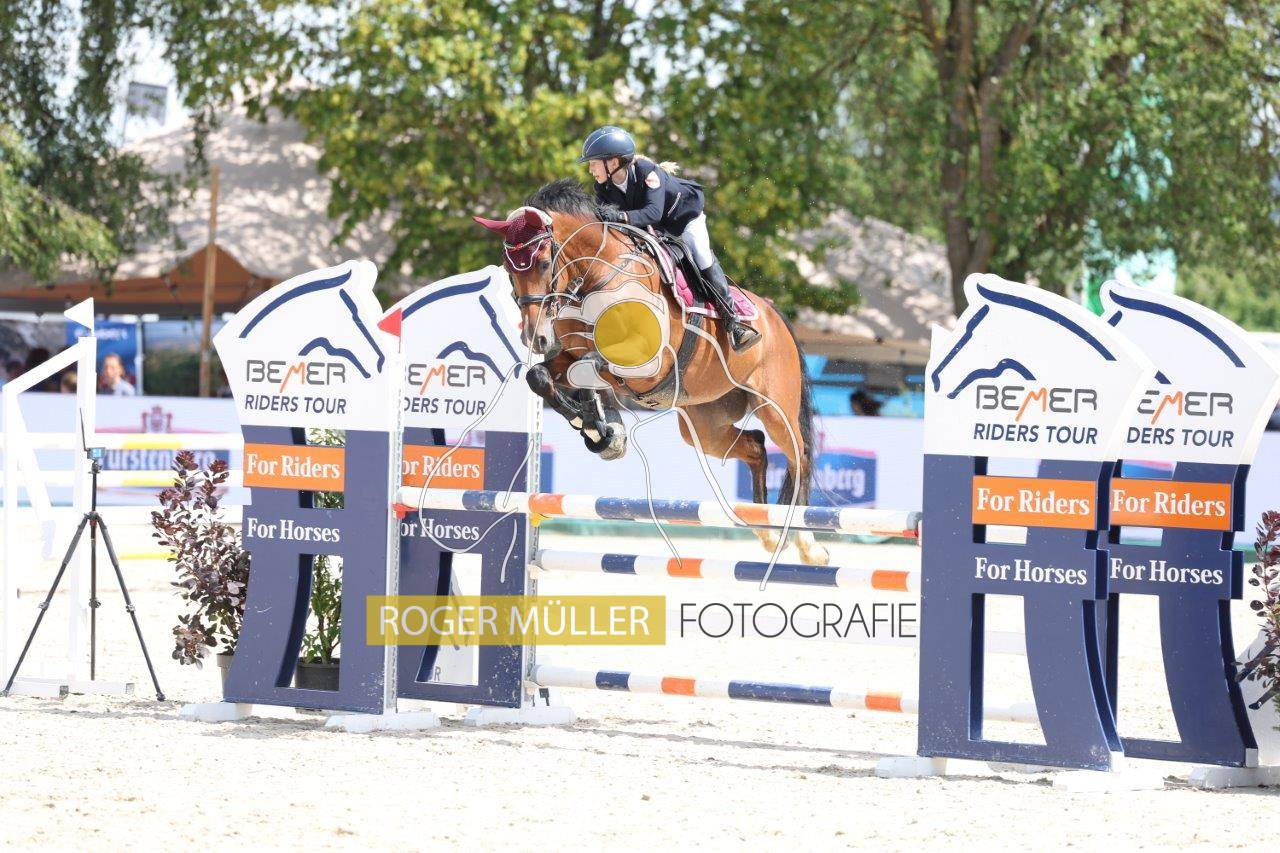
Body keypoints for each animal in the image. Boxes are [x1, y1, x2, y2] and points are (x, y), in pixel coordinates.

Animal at [475, 179, 828, 565]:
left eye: (541, 263)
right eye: (510, 271)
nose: (534, 337)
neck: (599, 274)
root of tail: (774, 315)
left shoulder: (646, 361)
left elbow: (594, 366)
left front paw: (603, 426)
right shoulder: (568, 353)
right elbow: (541, 376)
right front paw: (600, 429)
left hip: (774, 407)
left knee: (798, 455)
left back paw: (809, 545)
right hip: (706, 425)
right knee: (756, 446)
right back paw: (766, 532)